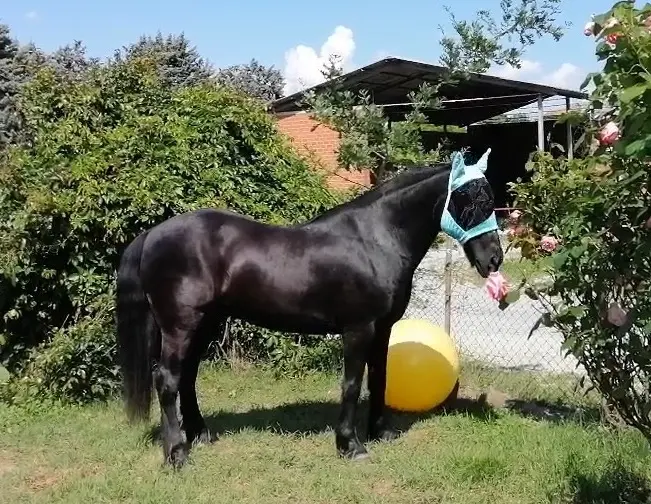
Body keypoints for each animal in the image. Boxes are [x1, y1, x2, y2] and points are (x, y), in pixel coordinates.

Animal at [116, 149, 504, 468]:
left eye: (490, 201)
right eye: (469, 201)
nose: (494, 259)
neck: (375, 240)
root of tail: (152, 234)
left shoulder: (383, 328)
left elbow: (379, 379)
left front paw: (381, 432)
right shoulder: (358, 328)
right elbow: (352, 383)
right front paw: (351, 446)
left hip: (205, 323)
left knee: (188, 377)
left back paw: (201, 435)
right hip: (181, 325)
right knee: (167, 380)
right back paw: (177, 454)